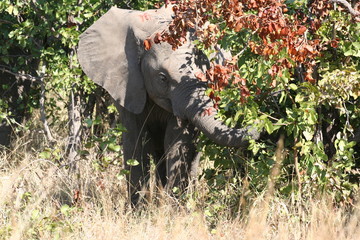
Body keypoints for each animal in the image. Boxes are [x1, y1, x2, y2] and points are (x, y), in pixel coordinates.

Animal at [77, 5, 260, 204]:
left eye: (207, 73)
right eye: (162, 78)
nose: (258, 123)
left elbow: (176, 142)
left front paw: (173, 208)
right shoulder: (127, 85)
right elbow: (135, 140)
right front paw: (139, 209)